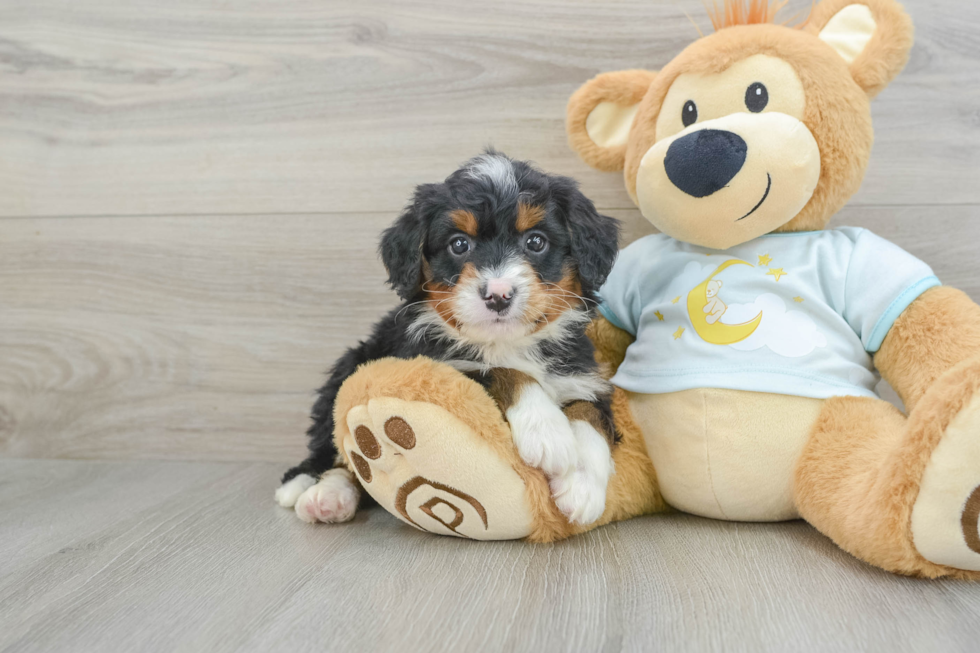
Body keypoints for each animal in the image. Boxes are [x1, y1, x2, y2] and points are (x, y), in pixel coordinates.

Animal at [274, 154, 620, 528]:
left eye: (536, 242)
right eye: (459, 244)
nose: (498, 295)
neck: (507, 343)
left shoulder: (583, 375)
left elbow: (590, 415)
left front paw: (582, 486)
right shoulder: (440, 369)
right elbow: (503, 371)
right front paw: (547, 432)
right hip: (349, 367)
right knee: (336, 452)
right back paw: (319, 492)